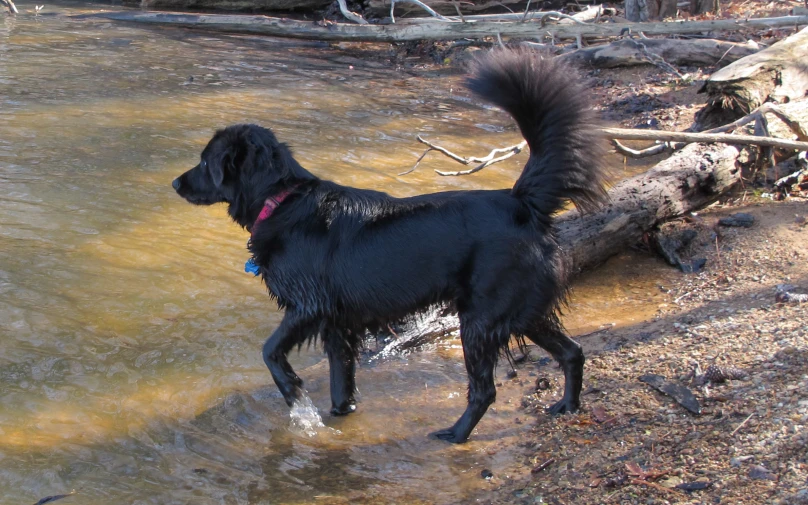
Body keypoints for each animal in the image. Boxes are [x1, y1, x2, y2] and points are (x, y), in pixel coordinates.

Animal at [175, 47, 608, 440]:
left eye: (205, 162)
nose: (175, 183)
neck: (282, 201)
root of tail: (520, 201)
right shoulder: (338, 326)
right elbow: (341, 383)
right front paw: (338, 416)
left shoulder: (308, 308)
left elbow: (269, 352)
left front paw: (295, 395)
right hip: (524, 311)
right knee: (572, 351)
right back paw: (567, 405)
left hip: (480, 320)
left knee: (485, 390)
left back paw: (455, 434)